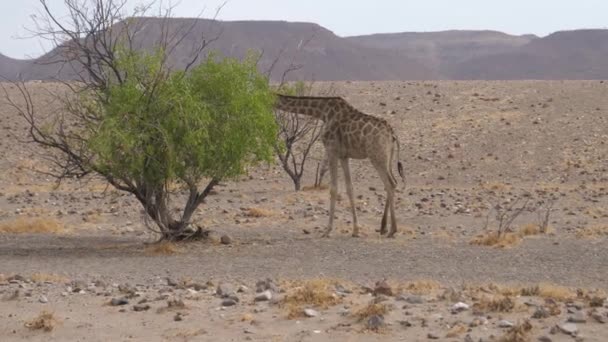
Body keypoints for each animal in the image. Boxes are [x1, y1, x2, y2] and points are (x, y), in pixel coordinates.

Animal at [278, 93, 406, 238]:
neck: (322, 113)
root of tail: (392, 134)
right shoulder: (344, 156)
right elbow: (350, 188)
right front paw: (355, 230)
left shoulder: (332, 149)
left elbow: (333, 189)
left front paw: (327, 230)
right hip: (387, 157)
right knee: (393, 182)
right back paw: (383, 227)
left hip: (377, 157)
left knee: (390, 184)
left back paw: (392, 230)